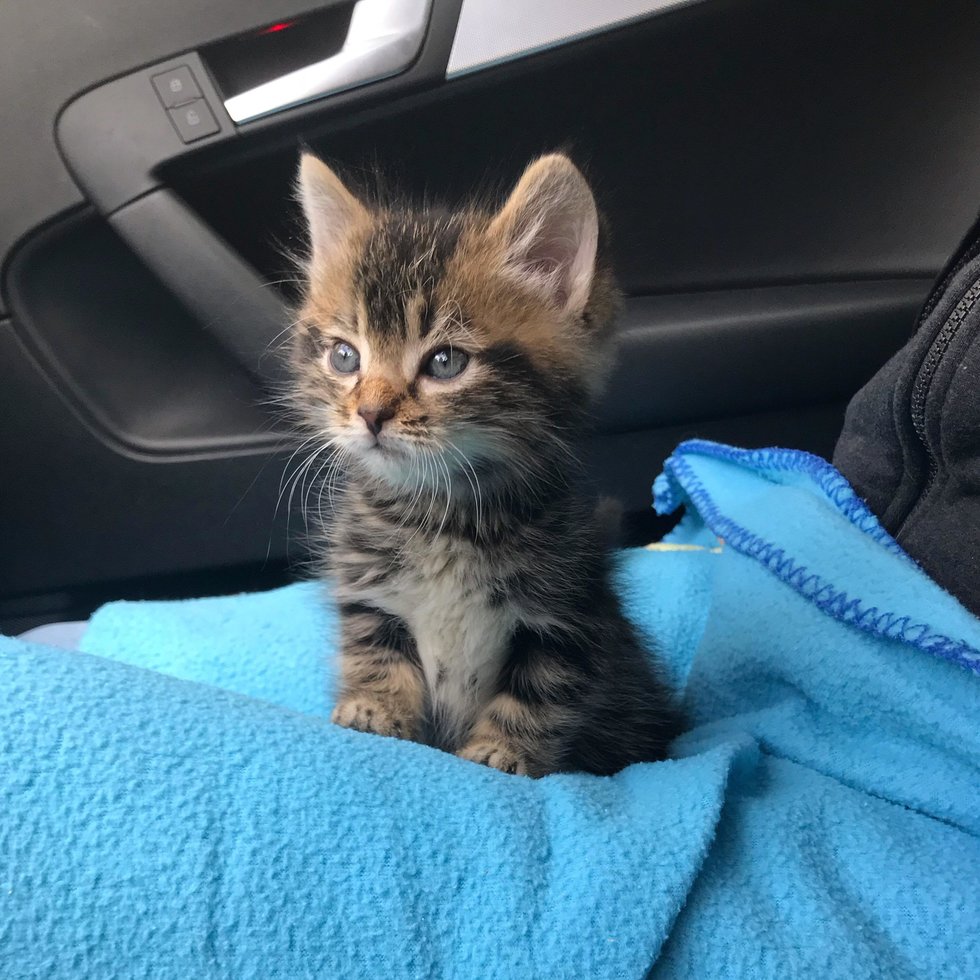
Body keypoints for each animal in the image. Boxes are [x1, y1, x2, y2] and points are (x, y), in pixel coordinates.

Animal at [290, 150, 679, 776]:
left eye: (445, 362)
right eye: (345, 356)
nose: (370, 413)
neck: (442, 515)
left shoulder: (569, 616)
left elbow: (542, 692)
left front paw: (500, 752)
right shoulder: (370, 594)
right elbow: (373, 652)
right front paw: (374, 711)